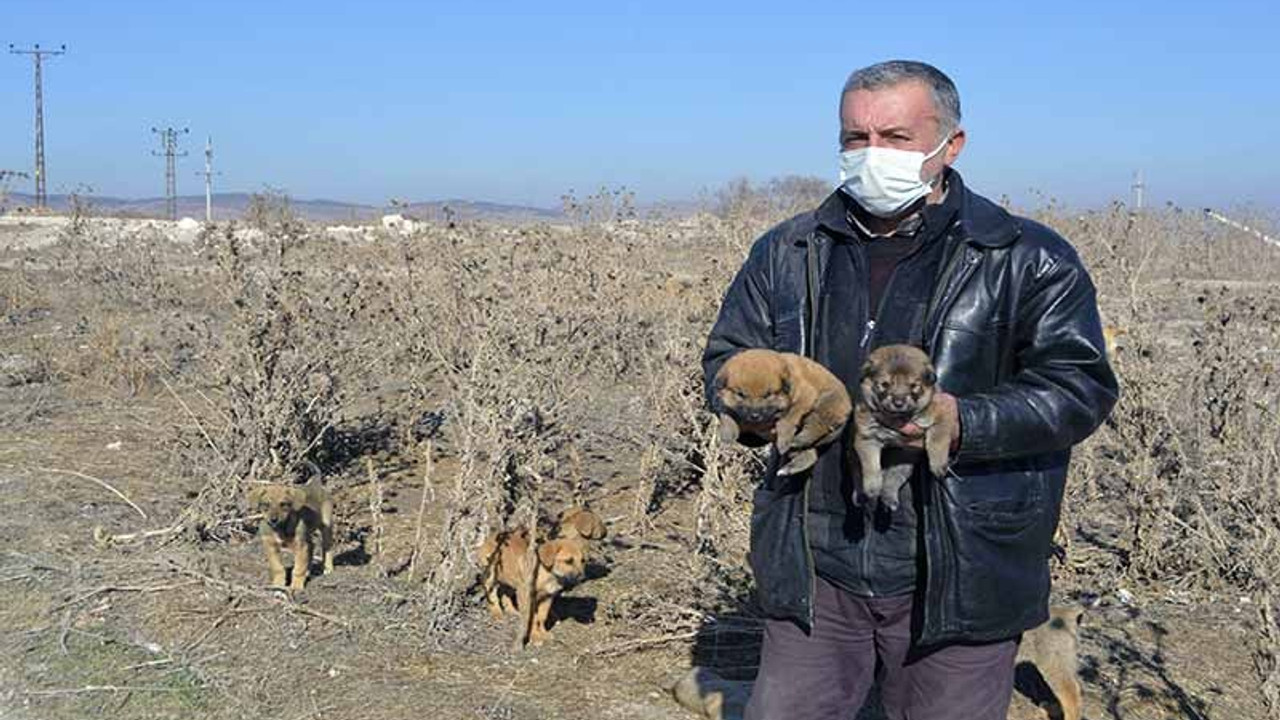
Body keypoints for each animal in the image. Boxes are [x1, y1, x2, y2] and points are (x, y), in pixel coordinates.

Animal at [716, 348, 855, 476]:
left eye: (768, 395)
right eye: (741, 394)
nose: (755, 416)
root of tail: (849, 405)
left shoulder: (805, 397)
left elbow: (787, 420)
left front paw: (783, 439)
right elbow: (726, 413)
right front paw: (727, 436)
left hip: (825, 404)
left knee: (816, 426)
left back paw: (797, 441)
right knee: (810, 454)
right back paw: (790, 468)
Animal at [849, 343, 952, 507]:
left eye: (914, 386)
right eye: (884, 385)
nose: (898, 403)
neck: (898, 417)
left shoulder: (943, 415)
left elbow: (938, 439)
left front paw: (938, 464)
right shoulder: (866, 438)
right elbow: (871, 465)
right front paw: (872, 487)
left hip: (905, 461)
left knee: (893, 478)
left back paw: (889, 498)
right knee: (858, 474)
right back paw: (861, 495)